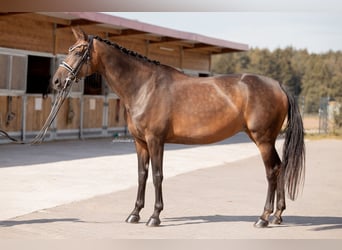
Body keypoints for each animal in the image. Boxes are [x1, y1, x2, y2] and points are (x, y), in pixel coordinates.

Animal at [52, 27, 304, 229]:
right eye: (70, 49)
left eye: (78, 52)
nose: (56, 81)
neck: (144, 87)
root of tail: (278, 85)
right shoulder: (140, 142)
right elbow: (142, 175)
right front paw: (134, 214)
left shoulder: (155, 140)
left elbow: (157, 176)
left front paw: (155, 216)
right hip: (265, 140)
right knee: (280, 167)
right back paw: (277, 215)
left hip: (263, 140)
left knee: (272, 171)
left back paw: (263, 218)